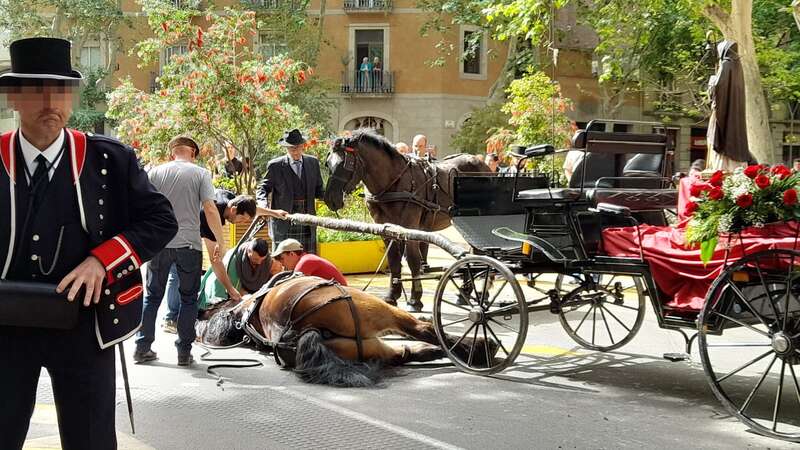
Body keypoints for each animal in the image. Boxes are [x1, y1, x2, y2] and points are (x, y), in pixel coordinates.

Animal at [196, 274, 498, 387]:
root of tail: (304, 331)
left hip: (369, 346)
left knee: (407, 351)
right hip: (379, 311)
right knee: (422, 330)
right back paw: (479, 349)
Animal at [323, 129, 491, 311]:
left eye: (345, 164)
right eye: (328, 163)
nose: (330, 199)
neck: (393, 182)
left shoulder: (410, 227)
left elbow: (413, 260)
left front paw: (415, 299)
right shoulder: (385, 229)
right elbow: (394, 260)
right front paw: (392, 295)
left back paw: (481, 293)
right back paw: (466, 292)